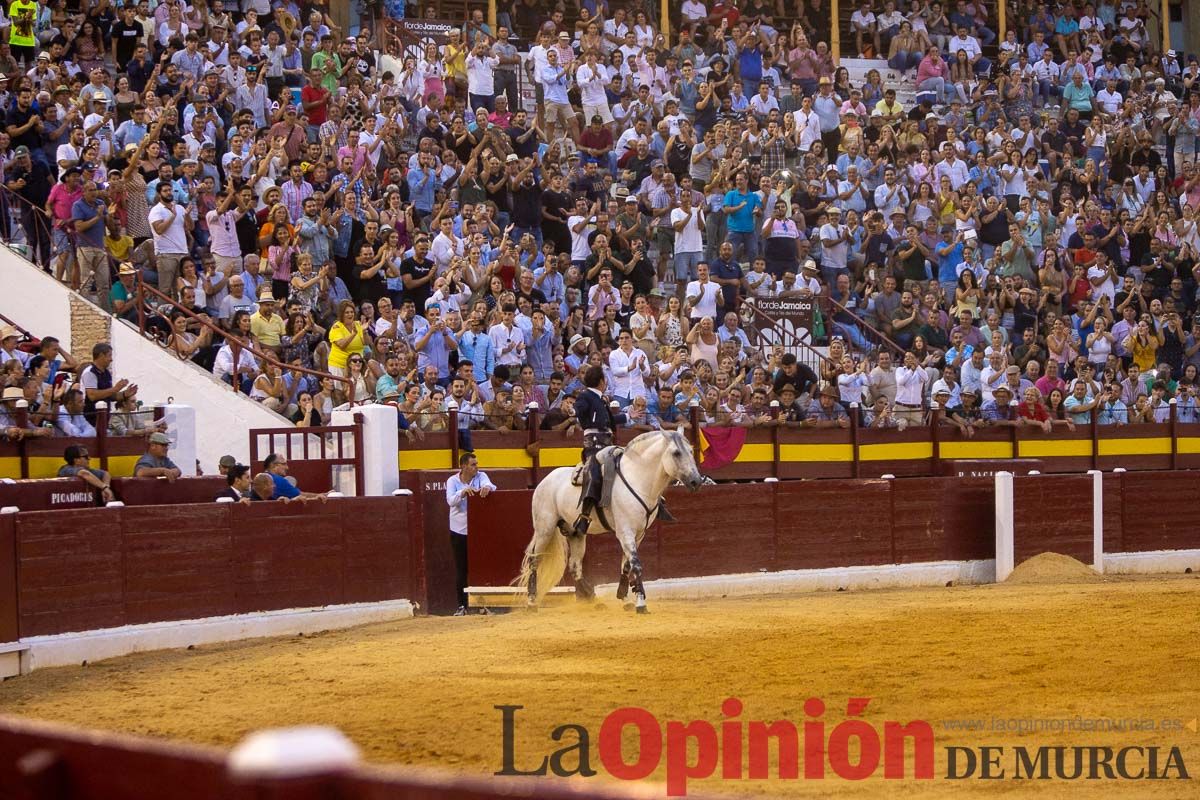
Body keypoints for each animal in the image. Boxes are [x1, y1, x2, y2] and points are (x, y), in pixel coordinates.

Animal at [516, 431, 700, 614]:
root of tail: (545, 480)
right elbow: (636, 564)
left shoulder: (639, 534)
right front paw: (641, 603)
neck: (638, 479)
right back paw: (532, 603)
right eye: (676, 453)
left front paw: (625, 598)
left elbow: (626, 565)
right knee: (534, 560)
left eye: (691, 451)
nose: (696, 481)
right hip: (544, 529)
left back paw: (593, 599)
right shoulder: (625, 532)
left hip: (576, 533)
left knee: (574, 565)